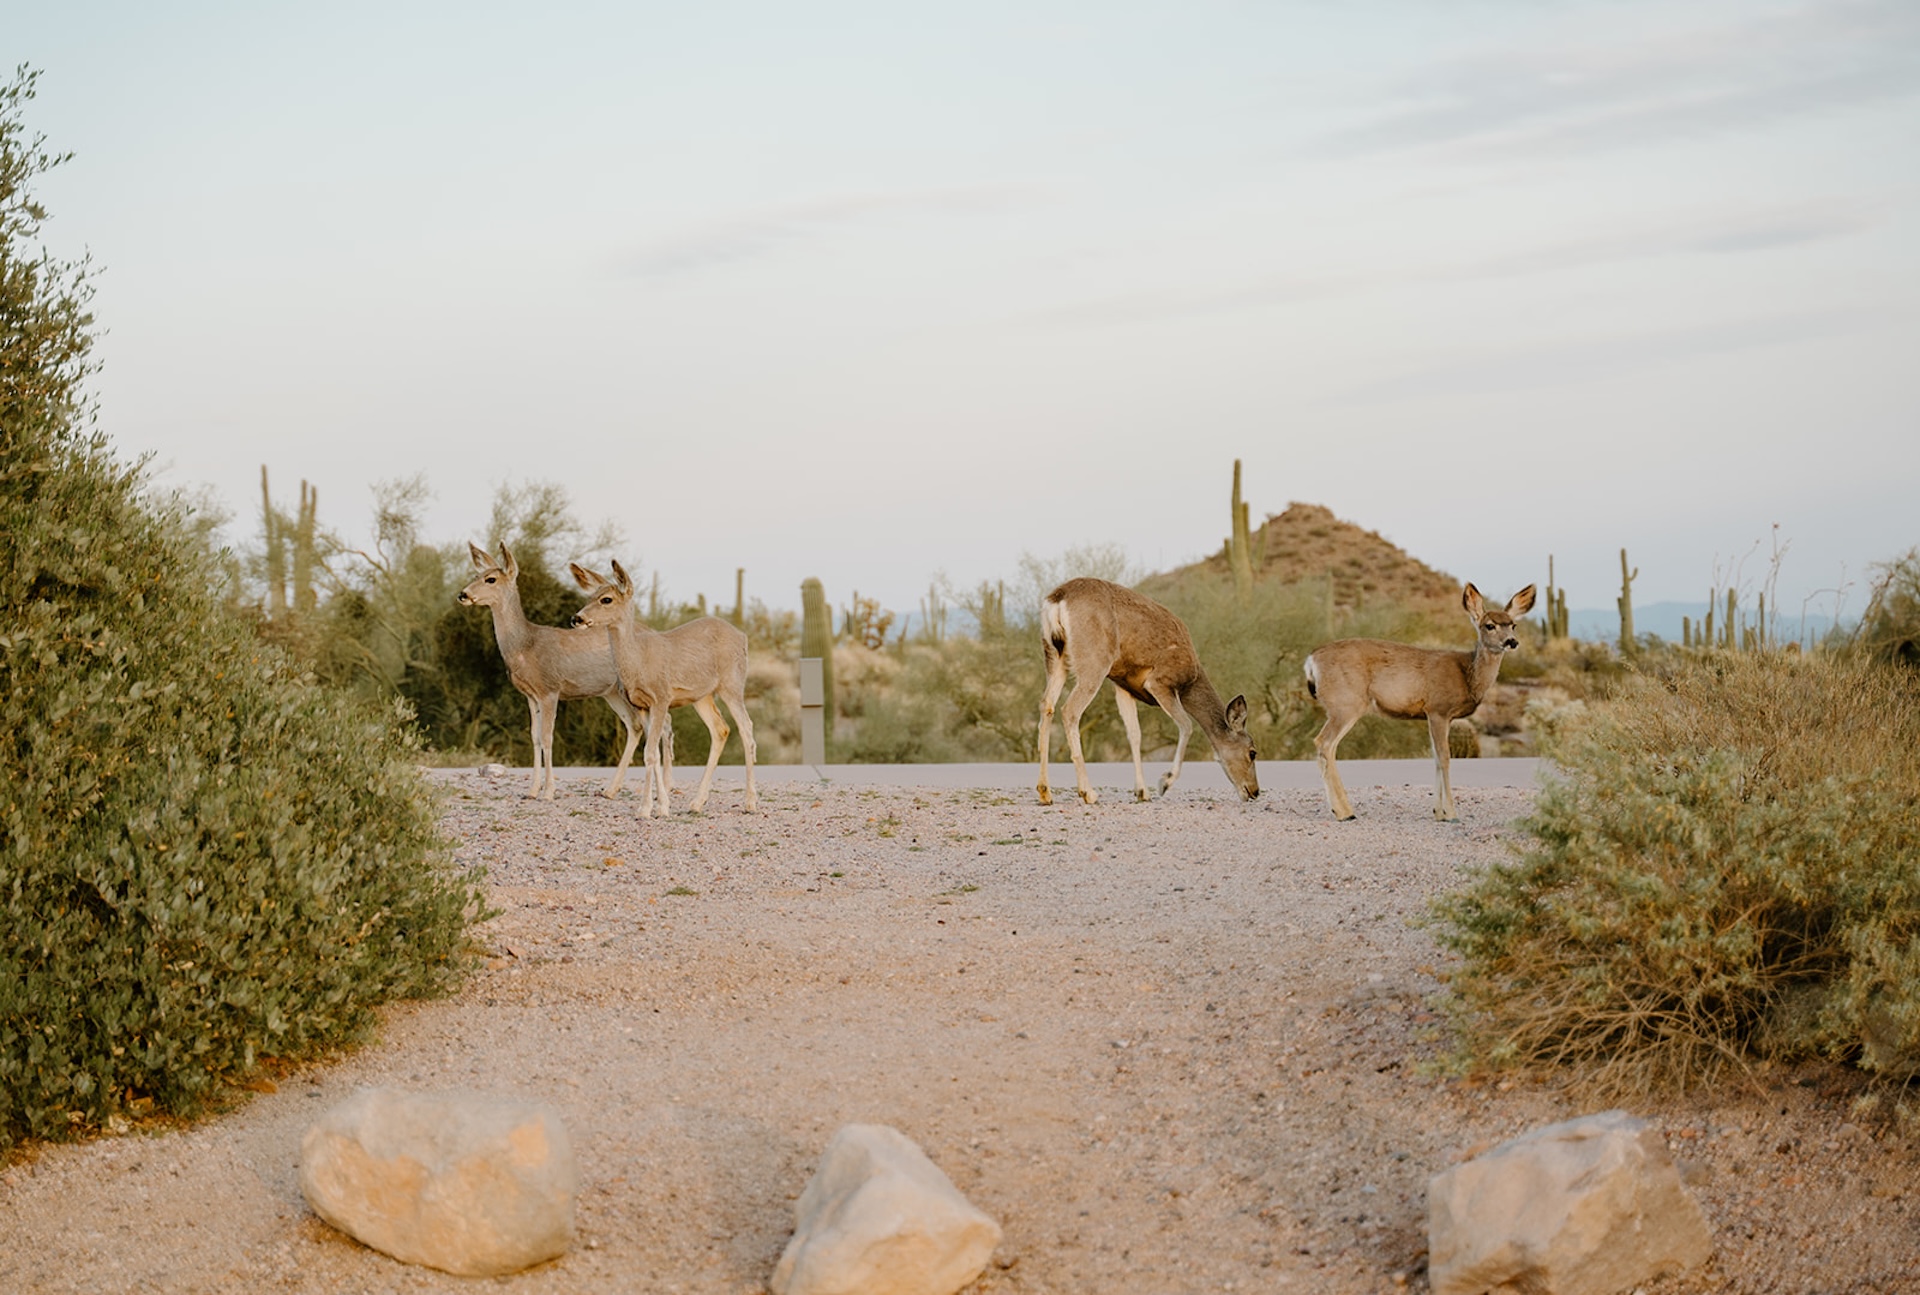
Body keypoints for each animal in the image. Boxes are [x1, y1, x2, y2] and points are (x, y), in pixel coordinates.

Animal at [458, 540, 665, 801]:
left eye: (491, 579)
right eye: (476, 575)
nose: (463, 594)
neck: (525, 645)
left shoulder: (550, 690)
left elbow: (547, 737)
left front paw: (548, 792)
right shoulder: (531, 695)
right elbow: (535, 737)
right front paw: (532, 791)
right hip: (612, 693)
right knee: (636, 727)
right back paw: (610, 790)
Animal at [569, 559, 758, 818]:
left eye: (606, 599)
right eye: (589, 597)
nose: (577, 618)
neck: (638, 661)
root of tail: (743, 637)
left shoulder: (661, 698)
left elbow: (649, 753)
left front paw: (645, 808)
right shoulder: (641, 705)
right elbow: (654, 754)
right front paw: (662, 806)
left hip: (732, 684)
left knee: (746, 729)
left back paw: (750, 803)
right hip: (702, 696)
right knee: (721, 729)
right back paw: (697, 802)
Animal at [1036, 577, 1259, 806]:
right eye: (1252, 752)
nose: (1255, 791)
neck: (1190, 681)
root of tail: (1056, 600)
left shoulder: (1123, 685)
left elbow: (1135, 733)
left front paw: (1142, 792)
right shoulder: (1160, 681)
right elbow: (1186, 725)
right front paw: (1164, 782)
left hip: (1053, 656)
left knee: (1046, 705)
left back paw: (1045, 792)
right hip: (1094, 660)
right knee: (1070, 710)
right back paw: (1088, 792)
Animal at [1304, 582, 1536, 823]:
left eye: (1513, 625)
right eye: (1489, 625)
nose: (1511, 641)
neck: (1467, 675)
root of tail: (1311, 660)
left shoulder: (1439, 716)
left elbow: (1435, 757)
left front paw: (1438, 813)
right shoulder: (1438, 710)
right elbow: (1444, 757)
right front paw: (1452, 813)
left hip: (1342, 707)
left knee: (1328, 747)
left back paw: (1345, 810)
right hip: (1345, 704)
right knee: (1324, 743)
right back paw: (1344, 812)